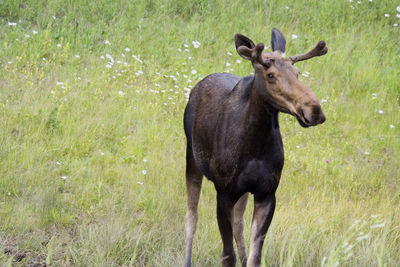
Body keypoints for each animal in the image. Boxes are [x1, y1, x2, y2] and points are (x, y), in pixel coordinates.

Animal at [184, 28, 328, 266]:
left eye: (297, 73)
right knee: (191, 217)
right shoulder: (223, 193)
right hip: (191, 158)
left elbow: (255, 256)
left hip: (242, 191)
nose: (314, 110)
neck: (255, 147)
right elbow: (227, 255)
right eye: (270, 75)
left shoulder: (266, 193)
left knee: (238, 222)